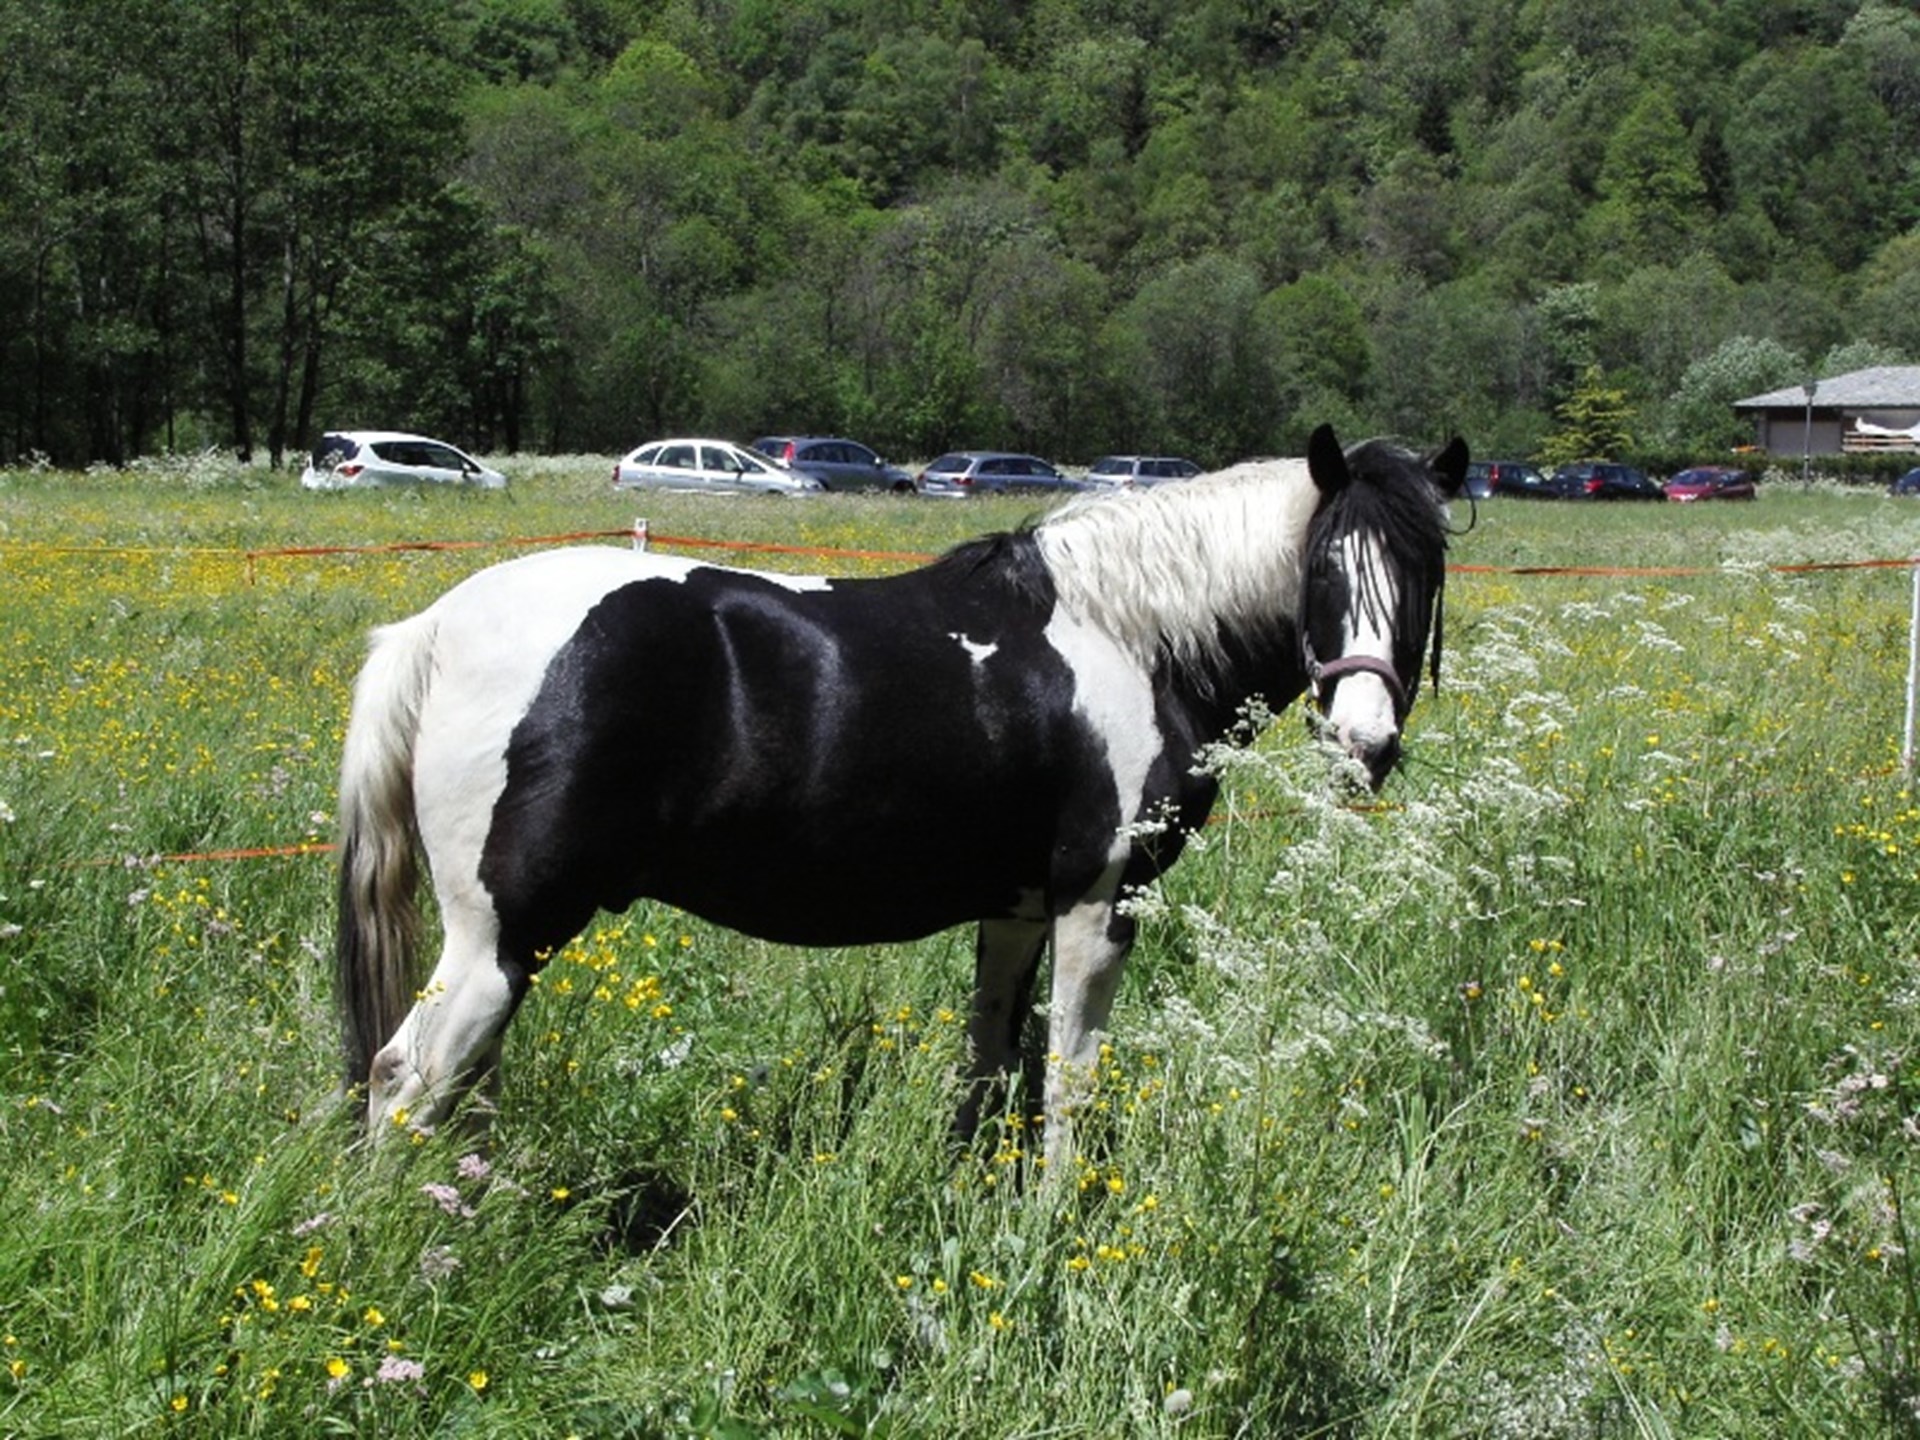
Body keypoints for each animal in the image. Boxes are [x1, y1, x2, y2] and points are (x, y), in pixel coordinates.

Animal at [334, 423, 1468, 1166]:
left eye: (1426, 573)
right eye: (1324, 571)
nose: (1366, 743)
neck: (1130, 635)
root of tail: (437, 626)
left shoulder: (1016, 913)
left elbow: (994, 1067)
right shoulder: (1099, 905)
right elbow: (1069, 1080)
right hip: (500, 936)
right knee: (407, 1080)